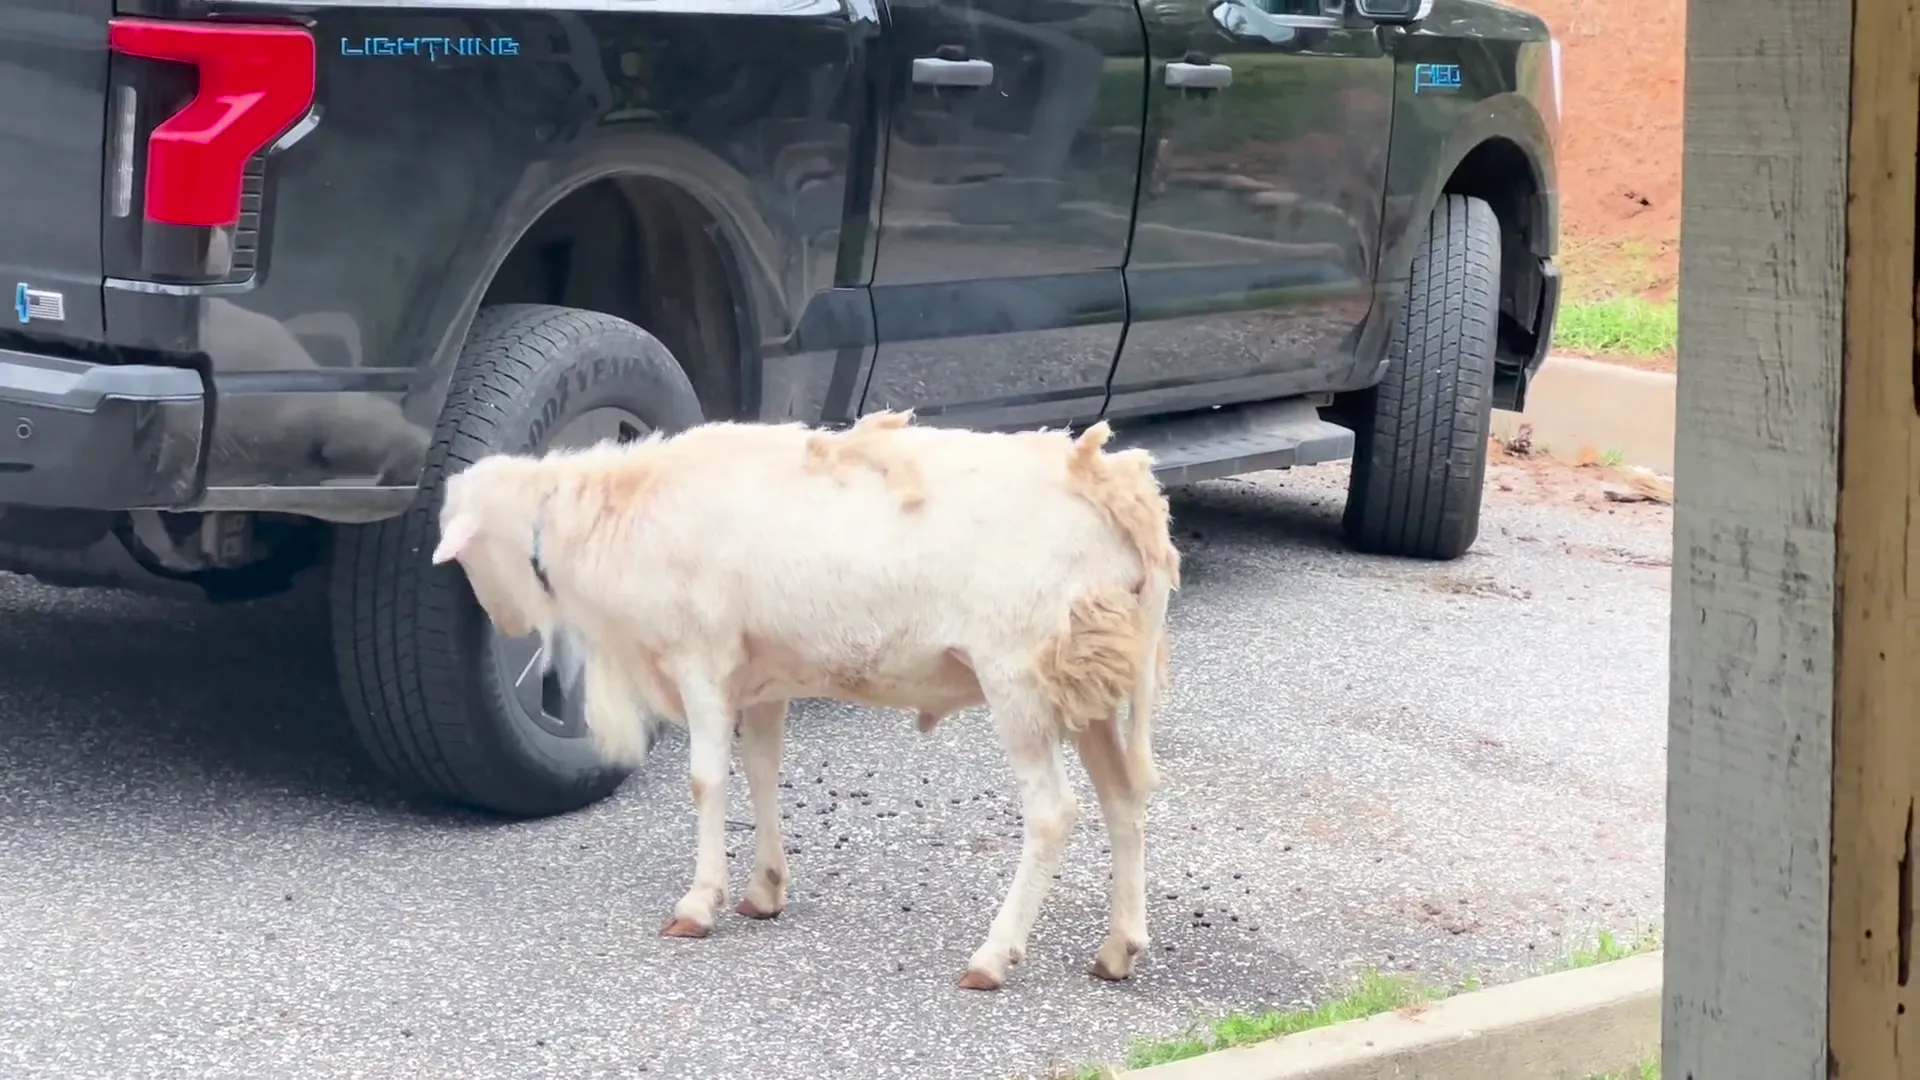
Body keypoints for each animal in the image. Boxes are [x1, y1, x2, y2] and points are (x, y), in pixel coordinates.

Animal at [428, 410, 1180, 990]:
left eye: (464, 555)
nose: (508, 629)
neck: (608, 517)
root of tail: (1119, 490)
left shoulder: (701, 661)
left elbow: (706, 782)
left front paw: (699, 904)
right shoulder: (760, 678)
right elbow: (762, 772)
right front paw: (764, 889)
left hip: (1018, 670)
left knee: (1054, 813)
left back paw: (993, 957)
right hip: (1084, 675)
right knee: (1123, 802)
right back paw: (1118, 949)